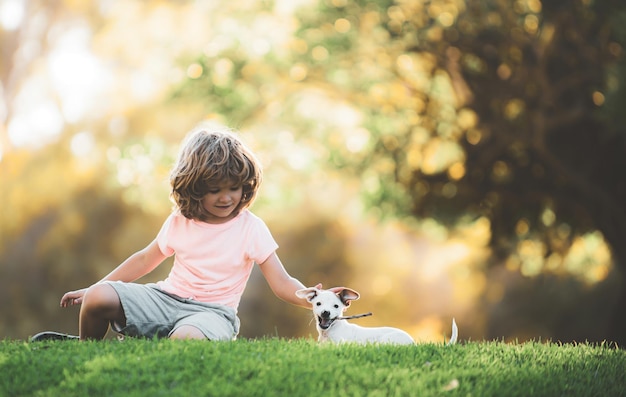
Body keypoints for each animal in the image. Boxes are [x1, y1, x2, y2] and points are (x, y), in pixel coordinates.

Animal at [294, 286, 456, 344]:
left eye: (336, 306)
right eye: (318, 304)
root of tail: (413, 344)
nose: (326, 312)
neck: (329, 332)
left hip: (386, 340)